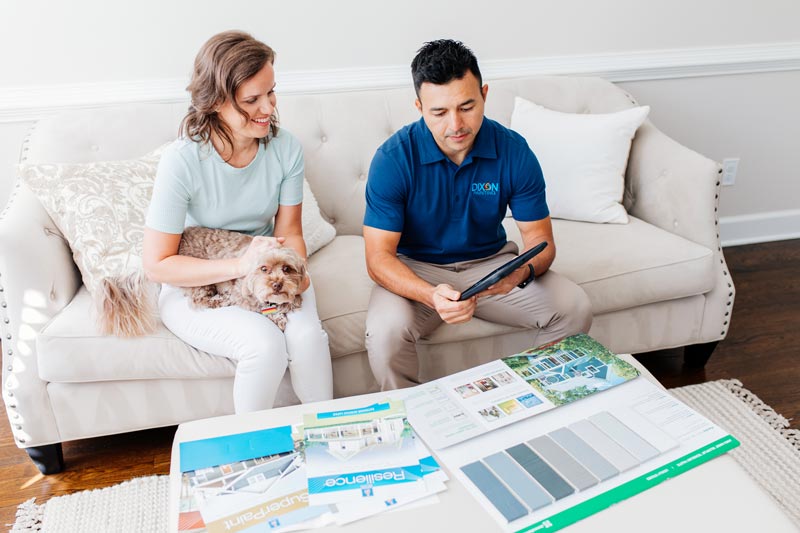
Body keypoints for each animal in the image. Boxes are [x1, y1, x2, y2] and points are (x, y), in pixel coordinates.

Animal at [180, 224, 308, 328]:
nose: (277, 285)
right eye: (263, 268)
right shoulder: (241, 294)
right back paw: (222, 300)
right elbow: (257, 305)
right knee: (198, 299)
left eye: (286, 268)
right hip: (200, 280)